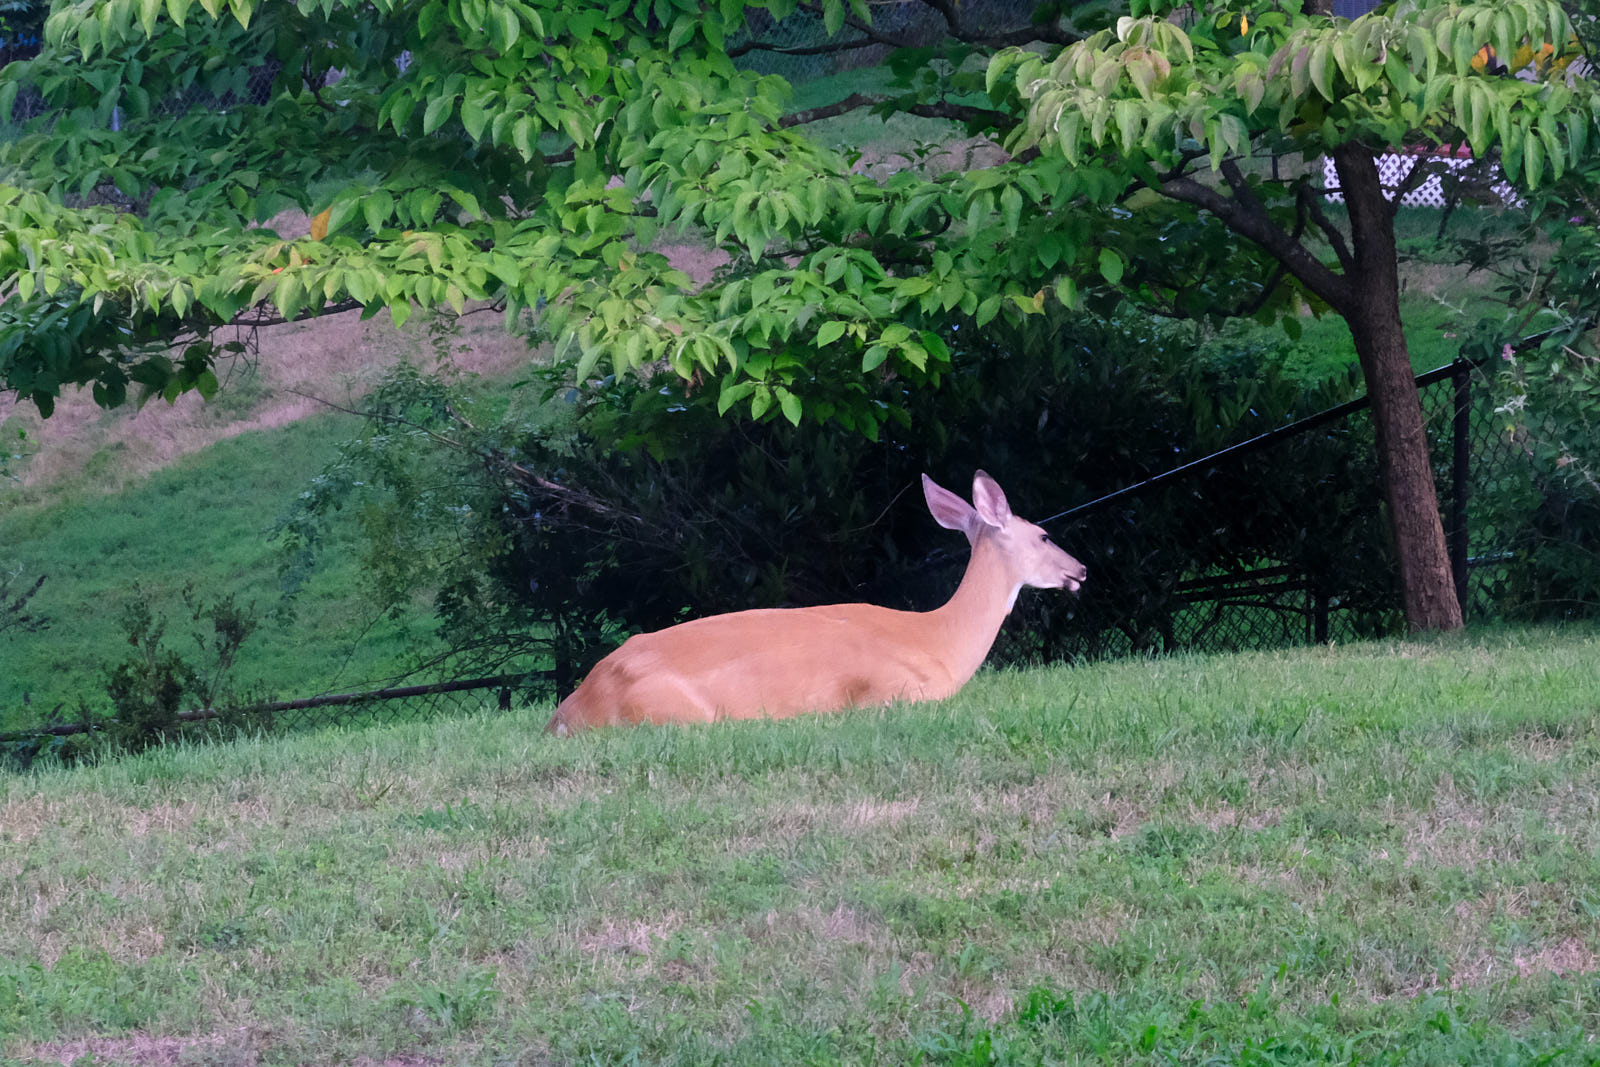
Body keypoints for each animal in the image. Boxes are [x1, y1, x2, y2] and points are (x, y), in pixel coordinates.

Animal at [547, 473, 1088, 735]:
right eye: (1044, 535)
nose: (1080, 570)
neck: (940, 641)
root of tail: (573, 707)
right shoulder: (897, 691)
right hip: (673, 710)